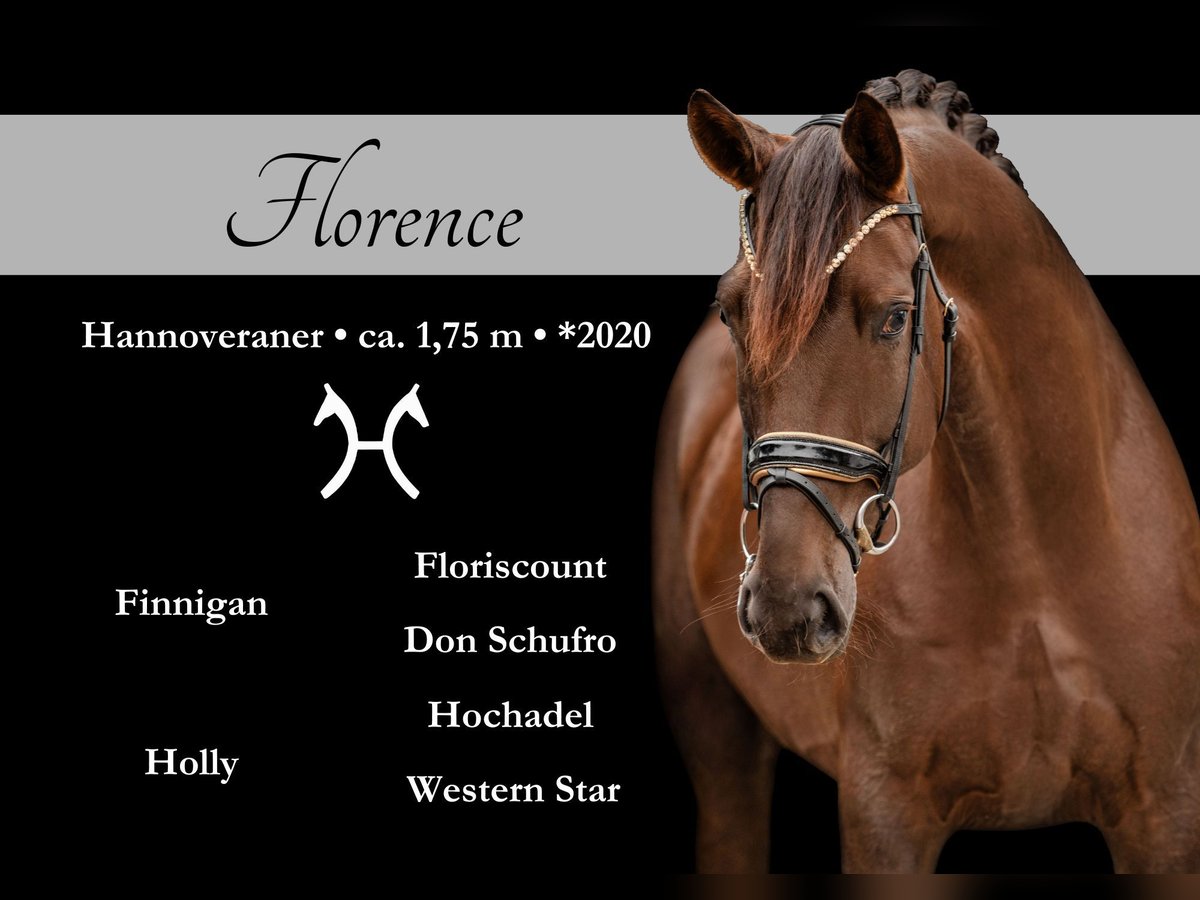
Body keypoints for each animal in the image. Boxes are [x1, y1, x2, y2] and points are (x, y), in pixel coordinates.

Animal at [652, 70, 1199, 873]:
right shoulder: (887, 819)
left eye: (894, 316)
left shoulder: (1163, 815)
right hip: (720, 741)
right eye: (730, 312)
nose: (786, 606)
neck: (1036, 570)